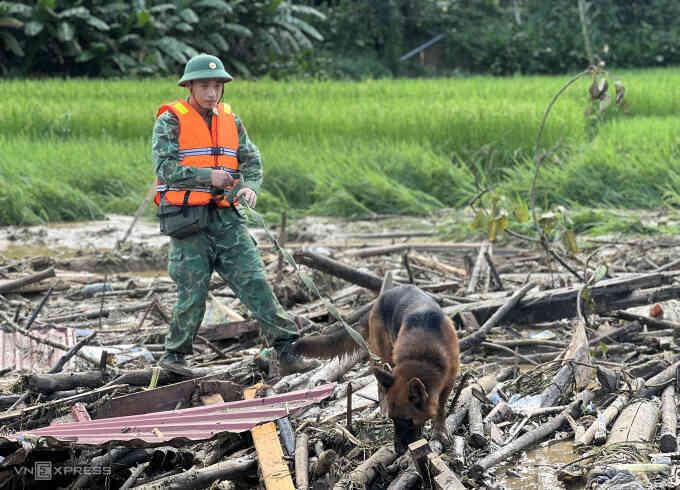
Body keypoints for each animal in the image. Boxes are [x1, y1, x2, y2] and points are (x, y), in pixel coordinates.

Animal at [294, 286, 460, 454]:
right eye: (393, 419)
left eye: (408, 420)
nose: (398, 450)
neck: (422, 357)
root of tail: (379, 300)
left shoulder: (448, 381)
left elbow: (441, 408)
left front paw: (439, 430)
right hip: (385, 357)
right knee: (381, 384)